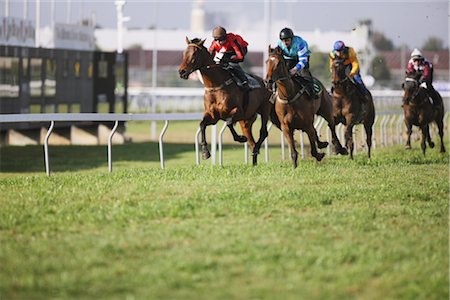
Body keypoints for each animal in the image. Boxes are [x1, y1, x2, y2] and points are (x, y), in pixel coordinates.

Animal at [178, 37, 270, 165]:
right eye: (184, 53)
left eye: (194, 54)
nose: (181, 72)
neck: (215, 85)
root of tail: (263, 81)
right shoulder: (213, 116)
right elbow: (202, 125)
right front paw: (205, 152)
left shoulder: (238, 111)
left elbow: (229, 122)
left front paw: (240, 138)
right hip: (246, 120)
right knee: (250, 139)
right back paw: (254, 160)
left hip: (264, 109)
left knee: (263, 132)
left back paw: (256, 148)